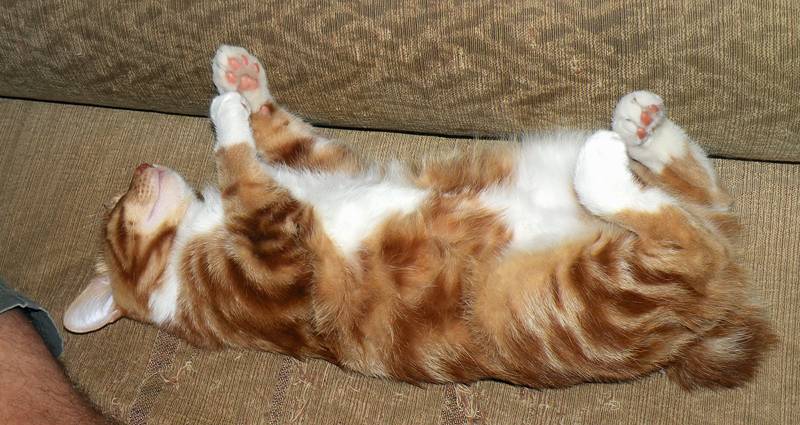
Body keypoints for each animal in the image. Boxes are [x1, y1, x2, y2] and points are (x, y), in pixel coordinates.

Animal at [64, 45, 776, 390]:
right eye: (118, 209)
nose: (139, 169)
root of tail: (715, 322)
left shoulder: (321, 164)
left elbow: (277, 134)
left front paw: (238, 80)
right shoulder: (273, 263)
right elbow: (242, 166)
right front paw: (223, 113)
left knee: (702, 196)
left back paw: (643, 127)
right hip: (587, 292)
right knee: (690, 243)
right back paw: (606, 165)